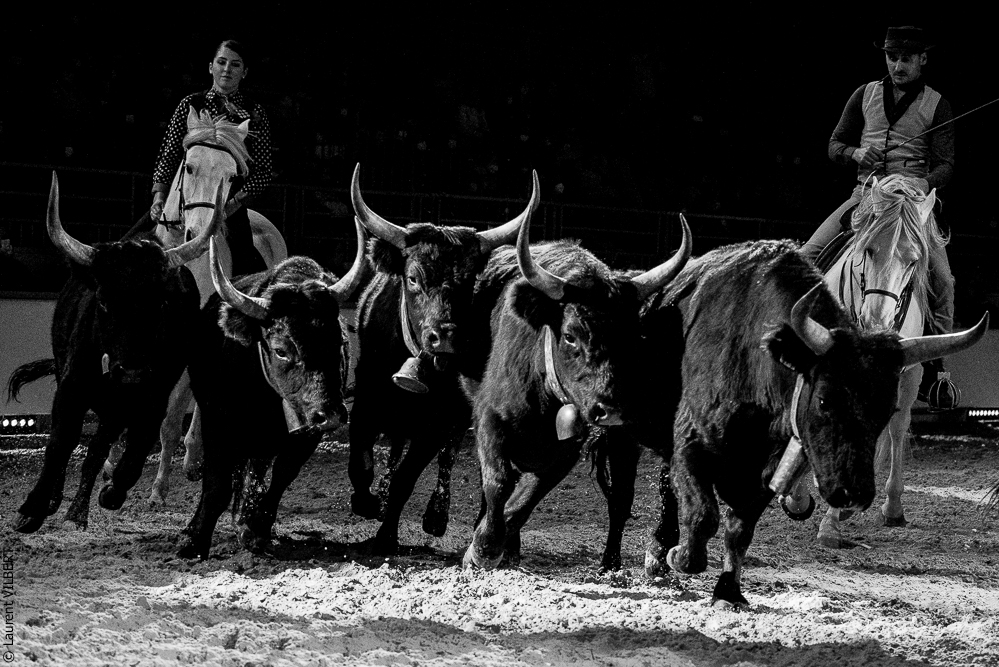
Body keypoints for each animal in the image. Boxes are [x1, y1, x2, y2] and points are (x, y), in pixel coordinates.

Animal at [106, 107, 288, 505]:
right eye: (188, 167)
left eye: (232, 177)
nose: (198, 235)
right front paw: (111, 459)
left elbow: (171, 417)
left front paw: (158, 488)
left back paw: (193, 460)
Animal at [782, 174, 955, 547]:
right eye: (869, 250)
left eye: (913, 260)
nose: (877, 321)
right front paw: (798, 497)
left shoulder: (907, 372)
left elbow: (891, 427)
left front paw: (836, 518)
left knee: (894, 427)